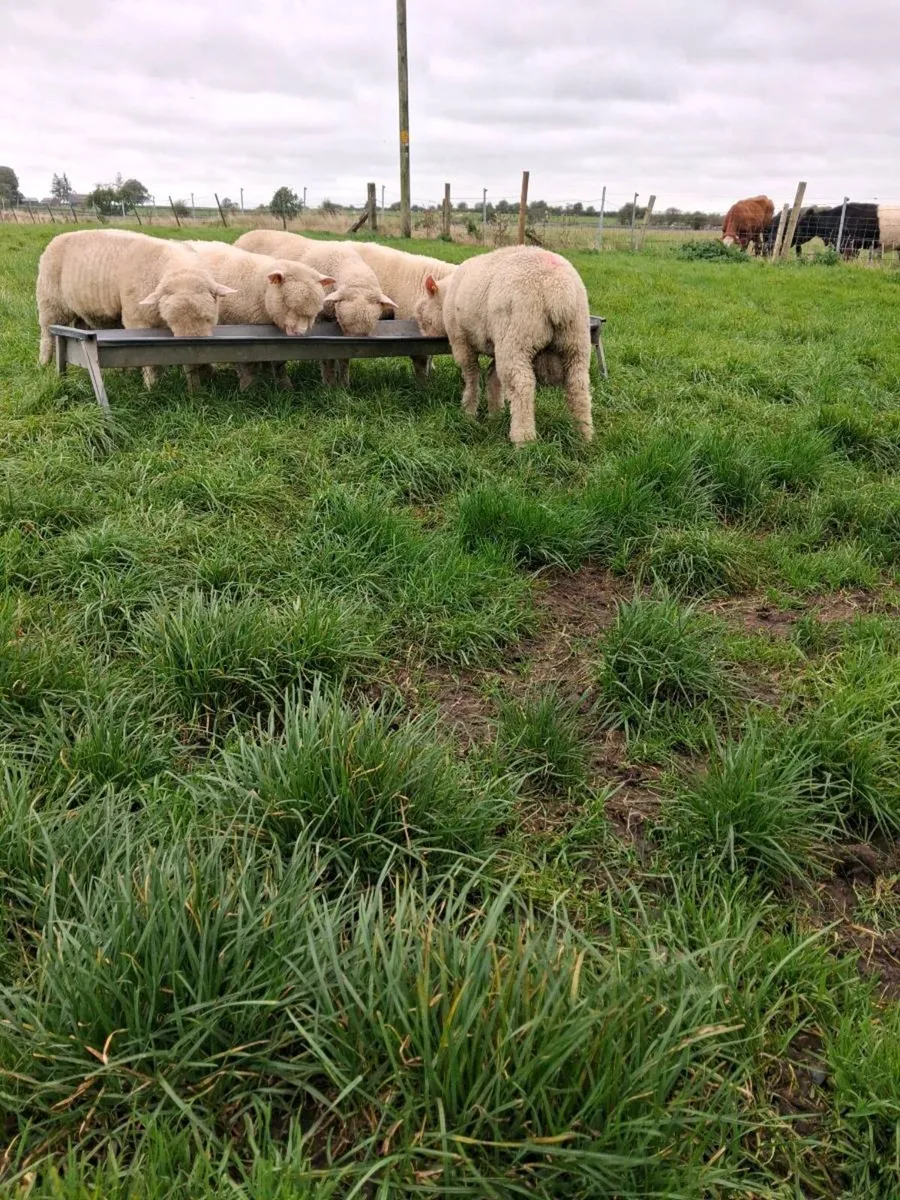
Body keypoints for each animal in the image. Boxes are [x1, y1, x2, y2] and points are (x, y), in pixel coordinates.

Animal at [36, 229, 237, 389]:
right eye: (171, 321)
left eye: (209, 318)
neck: (181, 269)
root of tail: (60, 236)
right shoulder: (138, 322)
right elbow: (150, 361)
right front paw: (151, 387)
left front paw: (204, 374)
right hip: (50, 303)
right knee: (47, 337)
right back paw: (44, 365)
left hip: (84, 310)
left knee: (81, 325)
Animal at [185, 240, 334, 389]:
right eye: (287, 302)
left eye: (314, 312)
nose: (300, 333)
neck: (259, 286)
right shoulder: (241, 333)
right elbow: (248, 365)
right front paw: (249, 387)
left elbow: (276, 362)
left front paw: (282, 384)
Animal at [234, 230, 395, 385]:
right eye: (342, 319)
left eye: (372, 325)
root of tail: (247, 233)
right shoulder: (321, 321)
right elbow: (328, 358)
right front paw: (330, 384)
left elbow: (344, 358)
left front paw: (344, 384)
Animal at [414, 245, 593, 446]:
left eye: (422, 316)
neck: (446, 297)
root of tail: (559, 290)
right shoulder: (495, 347)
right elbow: (494, 378)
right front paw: (495, 414)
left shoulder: (461, 341)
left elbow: (472, 377)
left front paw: (468, 412)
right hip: (576, 341)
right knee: (578, 386)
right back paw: (583, 436)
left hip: (517, 339)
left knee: (521, 386)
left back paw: (524, 440)